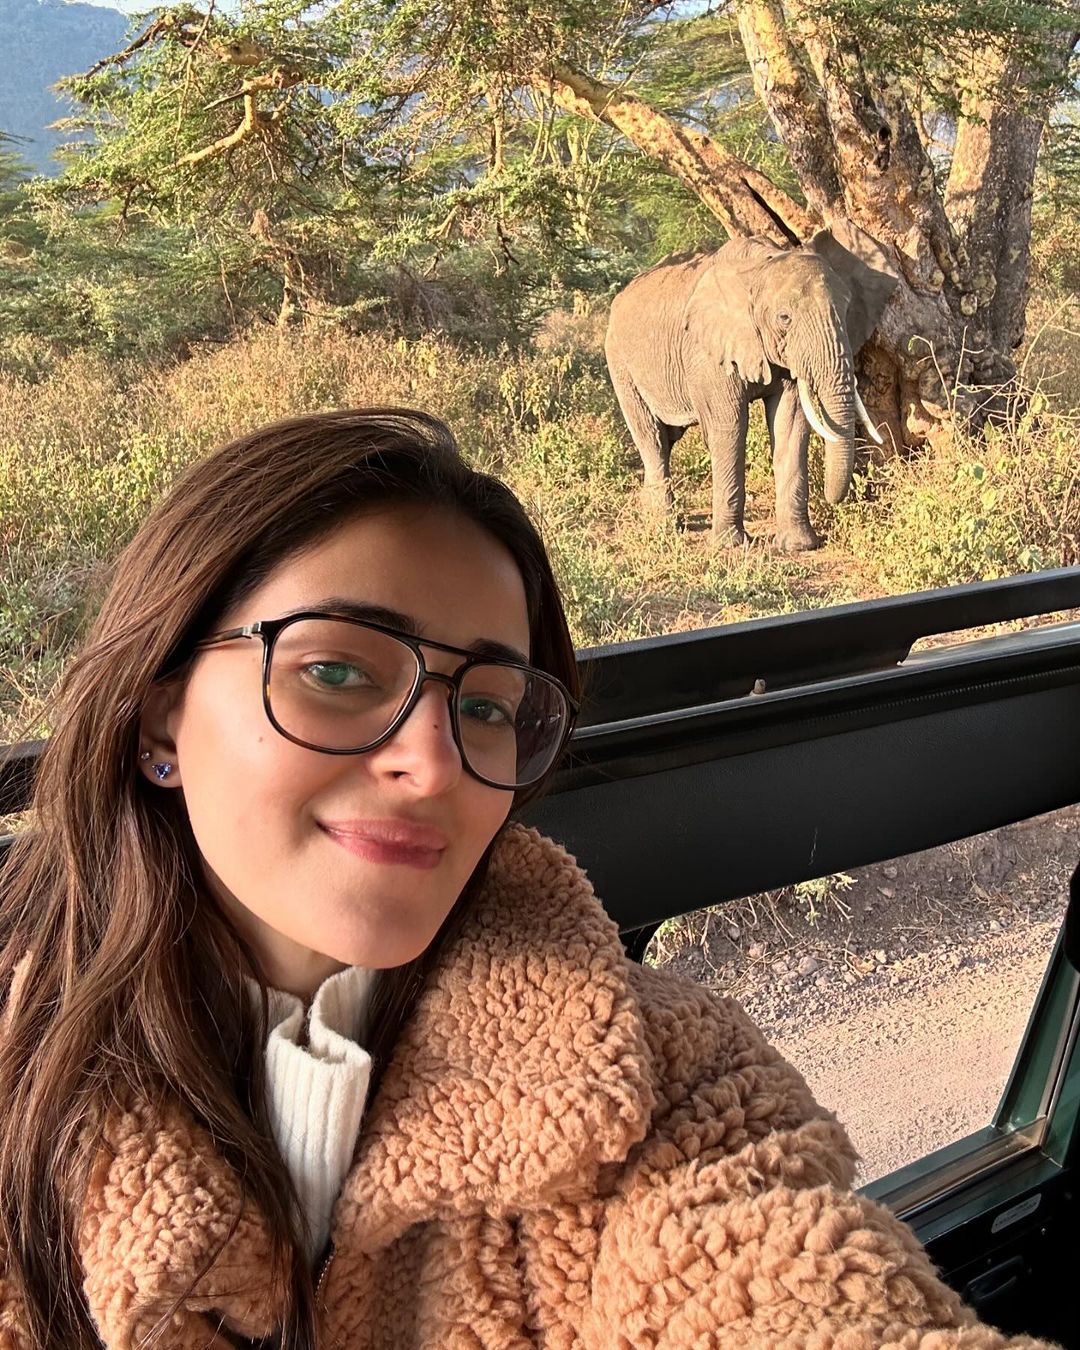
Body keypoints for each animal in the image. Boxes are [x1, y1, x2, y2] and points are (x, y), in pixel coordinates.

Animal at [602, 224, 896, 550]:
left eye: (845, 311)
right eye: (784, 318)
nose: (836, 500)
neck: (762, 266)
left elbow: (791, 424)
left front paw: (798, 546)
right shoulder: (709, 354)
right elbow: (730, 426)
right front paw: (730, 545)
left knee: (667, 439)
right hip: (620, 363)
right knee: (651, 438)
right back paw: (664, 528)